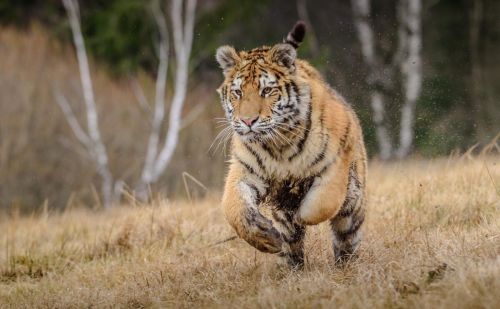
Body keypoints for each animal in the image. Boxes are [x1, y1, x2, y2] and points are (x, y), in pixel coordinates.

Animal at [215, 21, 368, 268]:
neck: (278, 144)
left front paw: (300, 212)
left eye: (267, 90)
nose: (248, 121)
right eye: (237, 92)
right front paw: (265, 237)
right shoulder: (244, 170)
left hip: (353, 203)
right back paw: (291, 268)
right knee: (291, 246)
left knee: (346, 236)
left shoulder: (335, 167)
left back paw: (346, 267)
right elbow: (233, 207)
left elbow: (322, 204)